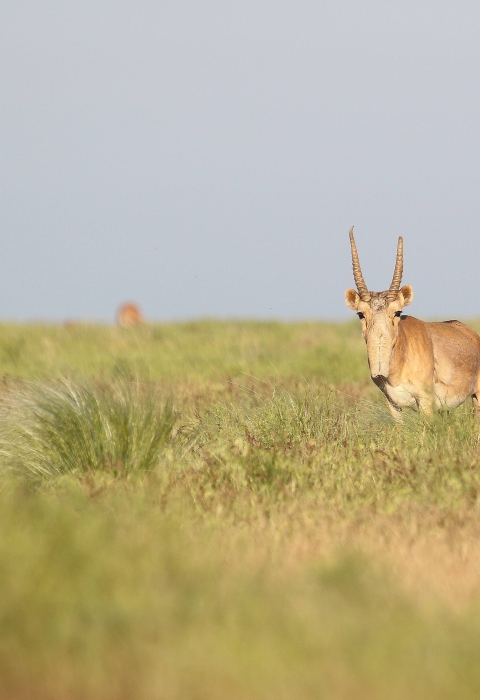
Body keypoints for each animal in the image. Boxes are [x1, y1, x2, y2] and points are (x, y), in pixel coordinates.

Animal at [345, 228, 480, 419]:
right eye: (360, 314)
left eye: (397, 312)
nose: (379, 370)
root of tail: (472, 335)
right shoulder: (392, 404)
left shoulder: (425, 401)